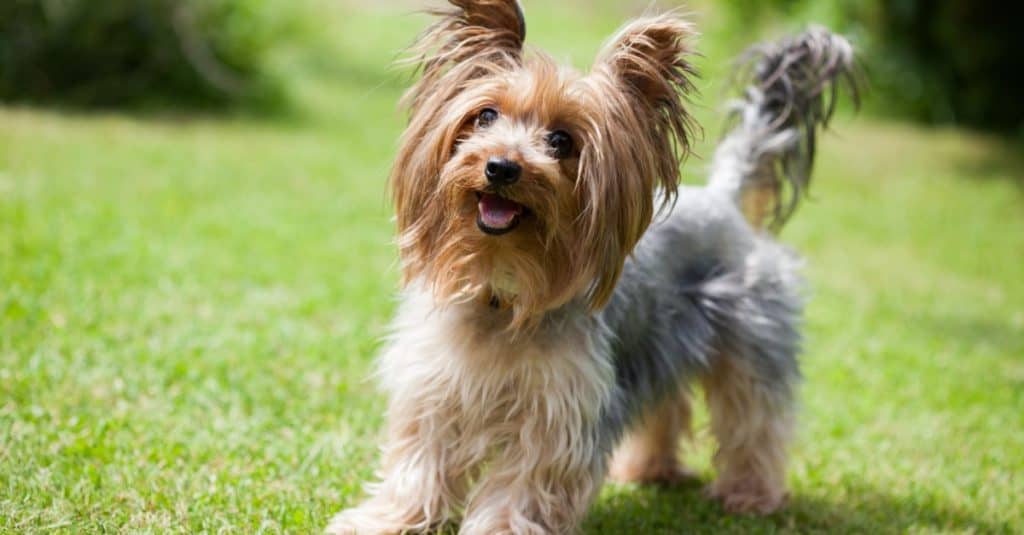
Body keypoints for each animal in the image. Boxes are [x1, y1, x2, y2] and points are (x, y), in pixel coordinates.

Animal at [327, 2, 856, 528]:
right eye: (485, 115)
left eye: (561, 140)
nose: (501, 166)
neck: (502, 285)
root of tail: (725, 199)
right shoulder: (435, 387)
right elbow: (419, 462)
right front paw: (384, 520)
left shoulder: (557, 411)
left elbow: (522, 486)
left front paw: (500, 528)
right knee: (667, 404)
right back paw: (649, 470)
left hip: (751, 335)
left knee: (754, 417)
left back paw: (750, 494)